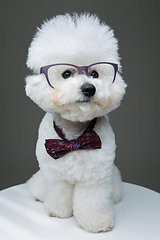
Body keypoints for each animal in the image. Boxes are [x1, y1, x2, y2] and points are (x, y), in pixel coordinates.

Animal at [25, 12, 127, 232]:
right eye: (66, 74)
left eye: (95, 74)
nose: (89, 88)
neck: (74, 136)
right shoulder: (54, 174)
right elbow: (58, 192)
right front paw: (58, 212)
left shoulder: (95, 176)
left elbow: (92, 201)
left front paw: (96, 223)